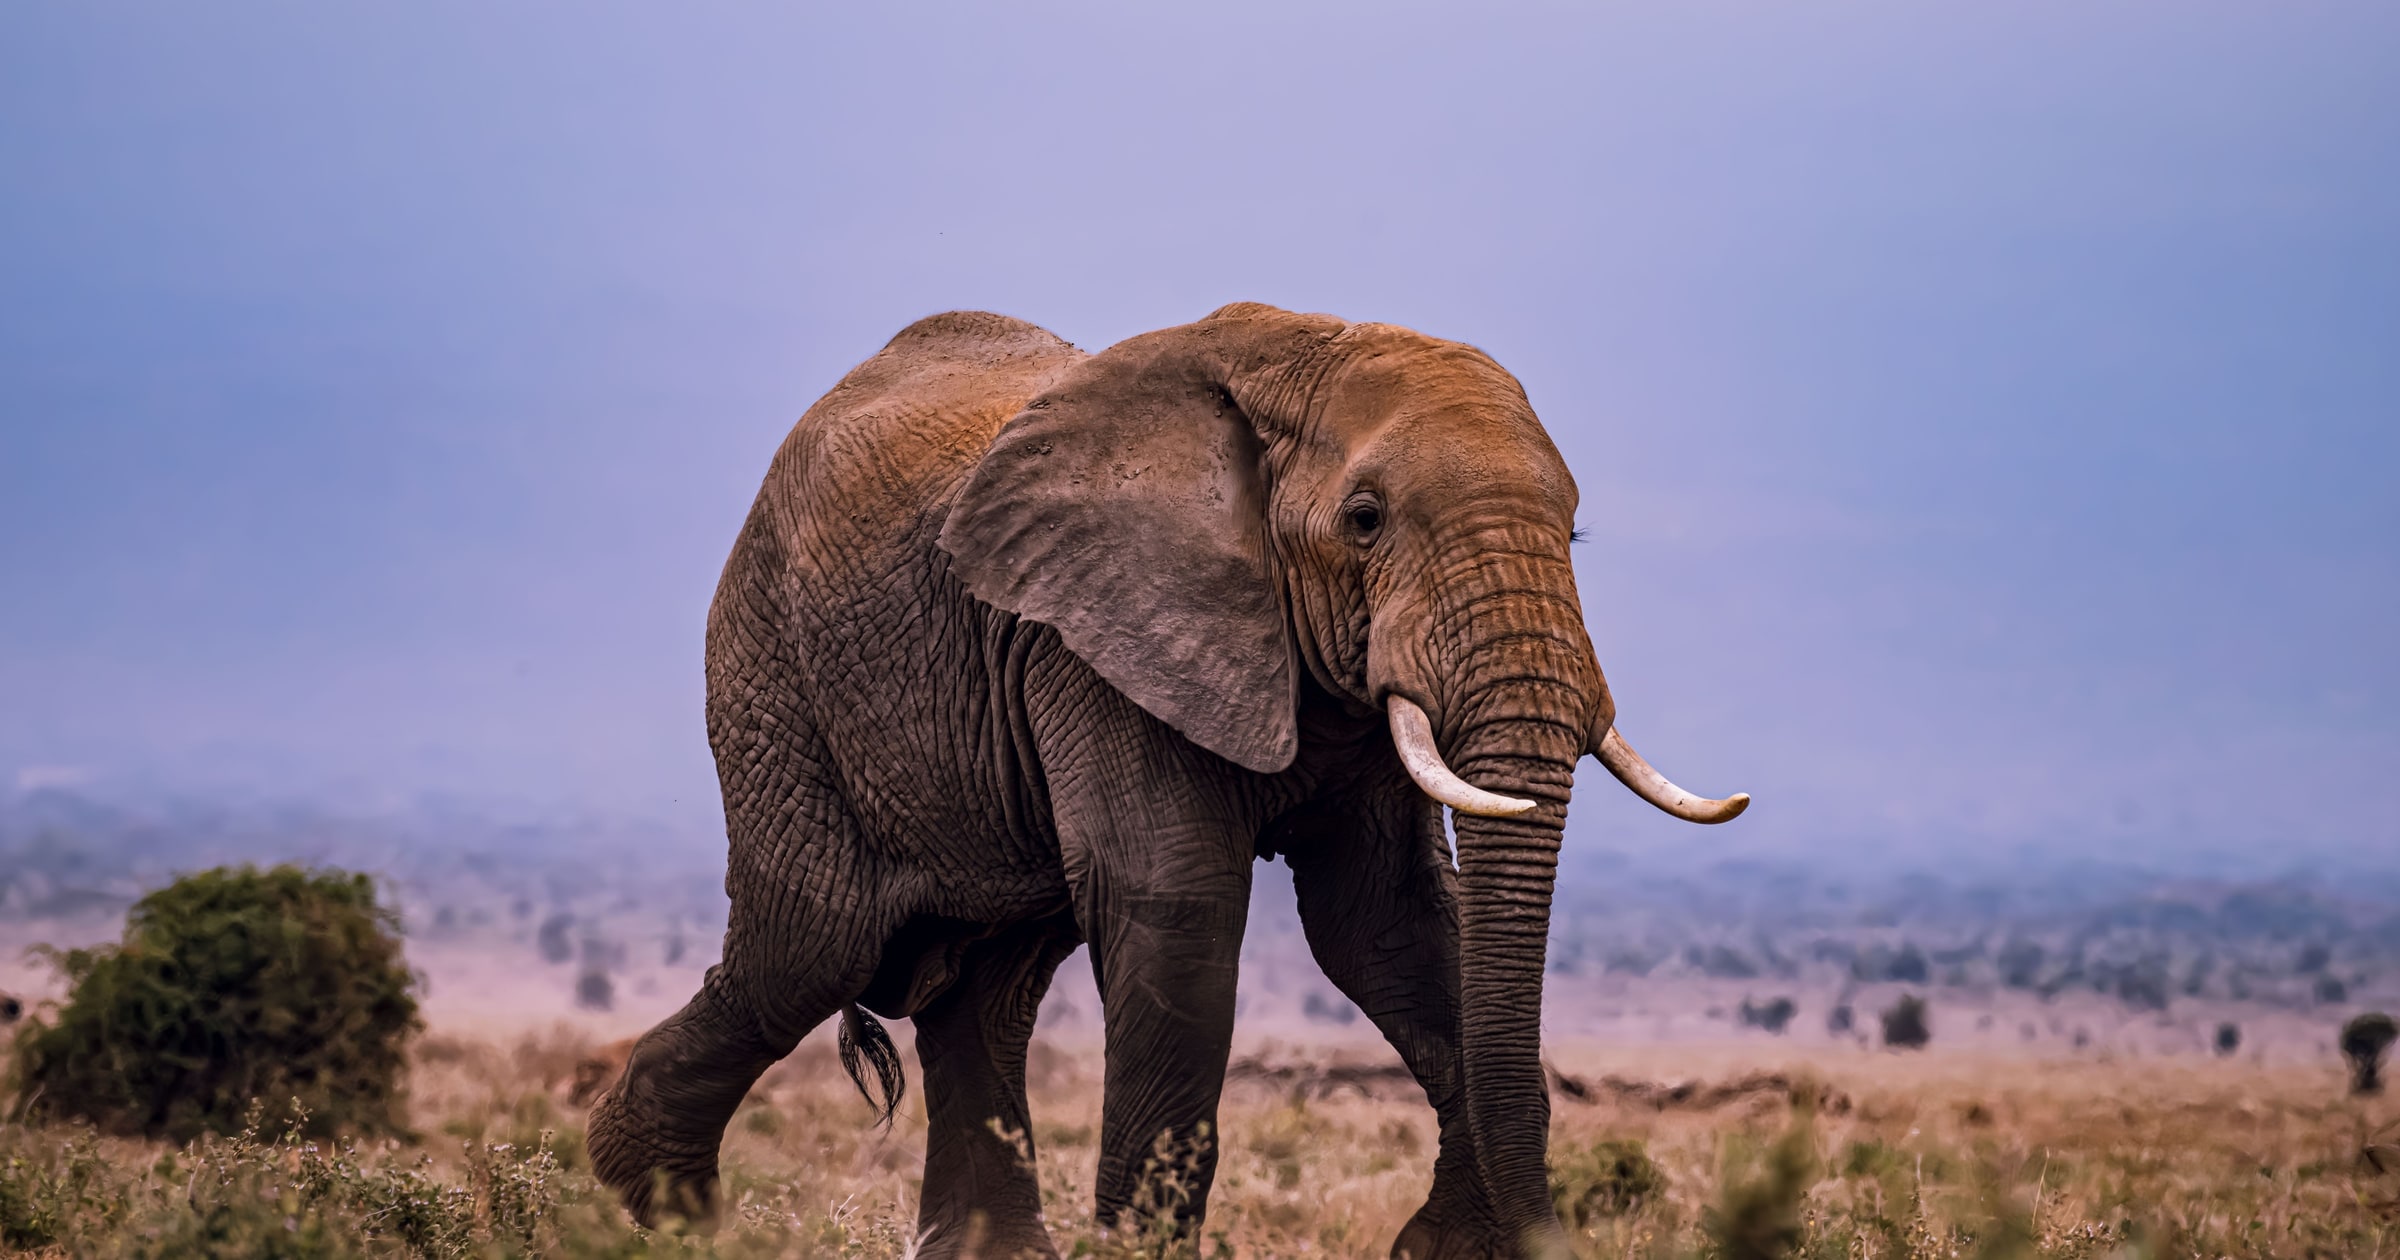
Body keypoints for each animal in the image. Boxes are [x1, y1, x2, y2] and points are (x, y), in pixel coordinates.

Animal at [585, 303, 1747, 1259]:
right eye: (1365, 519)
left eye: (1575, 531)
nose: (1537, 1242)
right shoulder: (1097, 638)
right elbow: (1178, 906)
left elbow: (1391, 921)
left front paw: (1441, 1248)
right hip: (774, 671)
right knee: (814, 944)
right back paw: (653, 1215)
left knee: (986, 990)